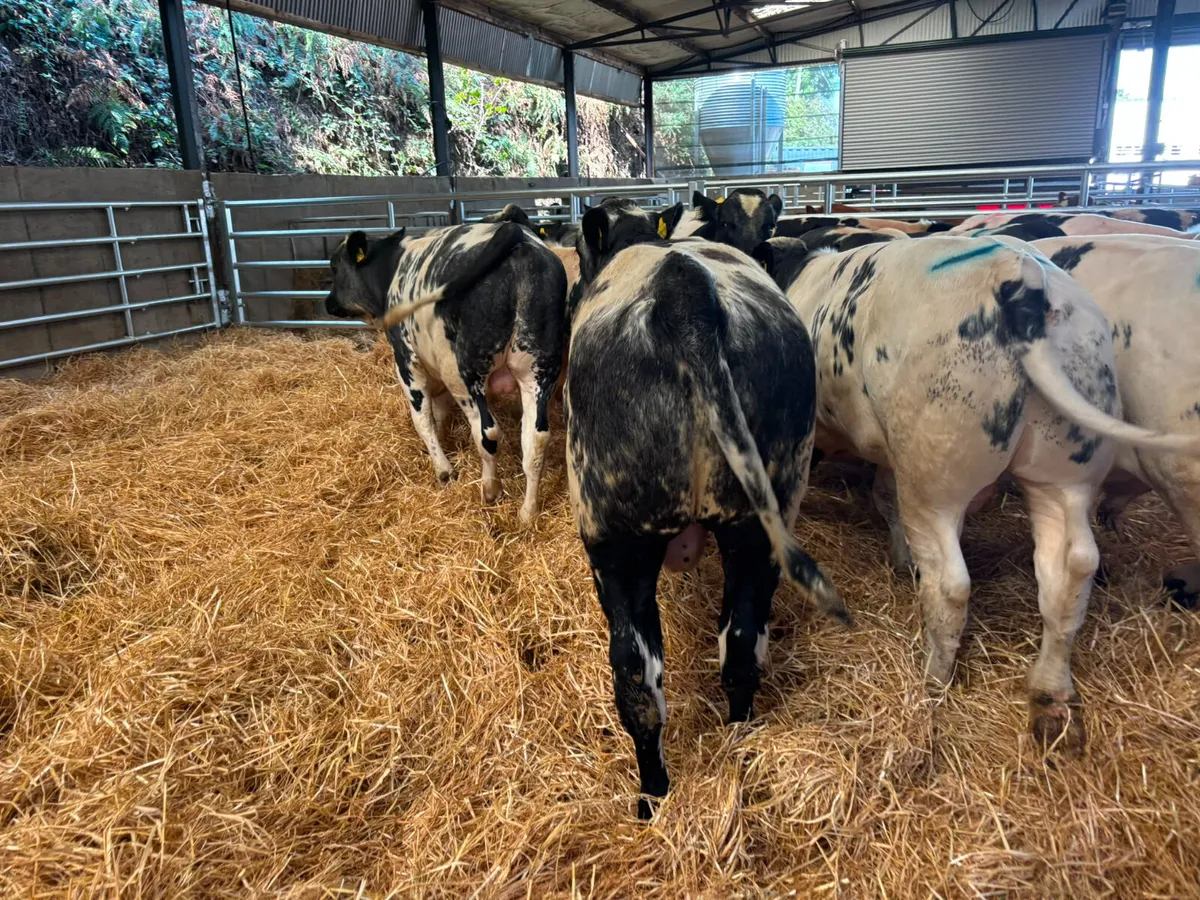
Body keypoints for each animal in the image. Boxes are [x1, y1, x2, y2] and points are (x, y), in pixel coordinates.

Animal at [324, 222, 568, 524]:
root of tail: (515, 233)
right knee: (535, 439)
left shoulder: (407, 360)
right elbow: (439, 412)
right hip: (537, 371)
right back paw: (527, 513)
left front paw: (443, 469)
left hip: (465, 374)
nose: (328, 302)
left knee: (487, 431)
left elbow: (423, 418)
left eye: (335, 267)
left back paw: (490, 490)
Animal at [566, 197, 847, 818]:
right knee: (738, 646)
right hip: (759, 524)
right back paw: (737, 745)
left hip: (613, 539)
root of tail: (684, 293)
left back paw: (651, 797)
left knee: (634, 677)